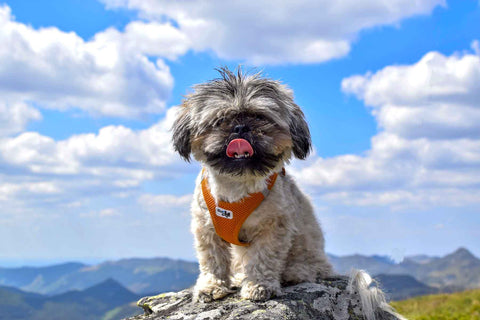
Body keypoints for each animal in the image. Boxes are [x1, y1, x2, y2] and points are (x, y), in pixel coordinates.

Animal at [172, 67, 334, 302]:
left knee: (311, 266)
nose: (240, 128)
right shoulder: (206, 228)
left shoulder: (274, 227)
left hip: (308, 247)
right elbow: (212, 260)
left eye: (259, 117)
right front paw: (211, 286)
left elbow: (263, 257)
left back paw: (294, 273)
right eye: (221, 119)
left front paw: (259, 285)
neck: (237, 186)